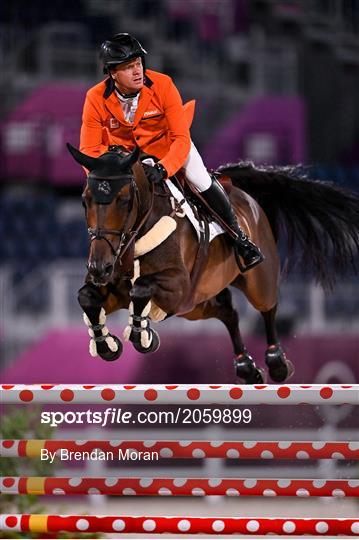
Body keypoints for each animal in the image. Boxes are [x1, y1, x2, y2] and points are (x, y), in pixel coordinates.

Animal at [66, 144, 358, 384]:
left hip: (251, 282)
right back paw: (246, 368)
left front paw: (142, 335)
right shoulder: (119, 291)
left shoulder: (178, 286)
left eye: (125, 200)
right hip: (194, 305)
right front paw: (107, 344)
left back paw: (277, 363)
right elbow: (87, 297)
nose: (100, 267)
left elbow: (141, 288)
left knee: (267, 308)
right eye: (84, 200)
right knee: (228, 312)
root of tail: (241, 192)